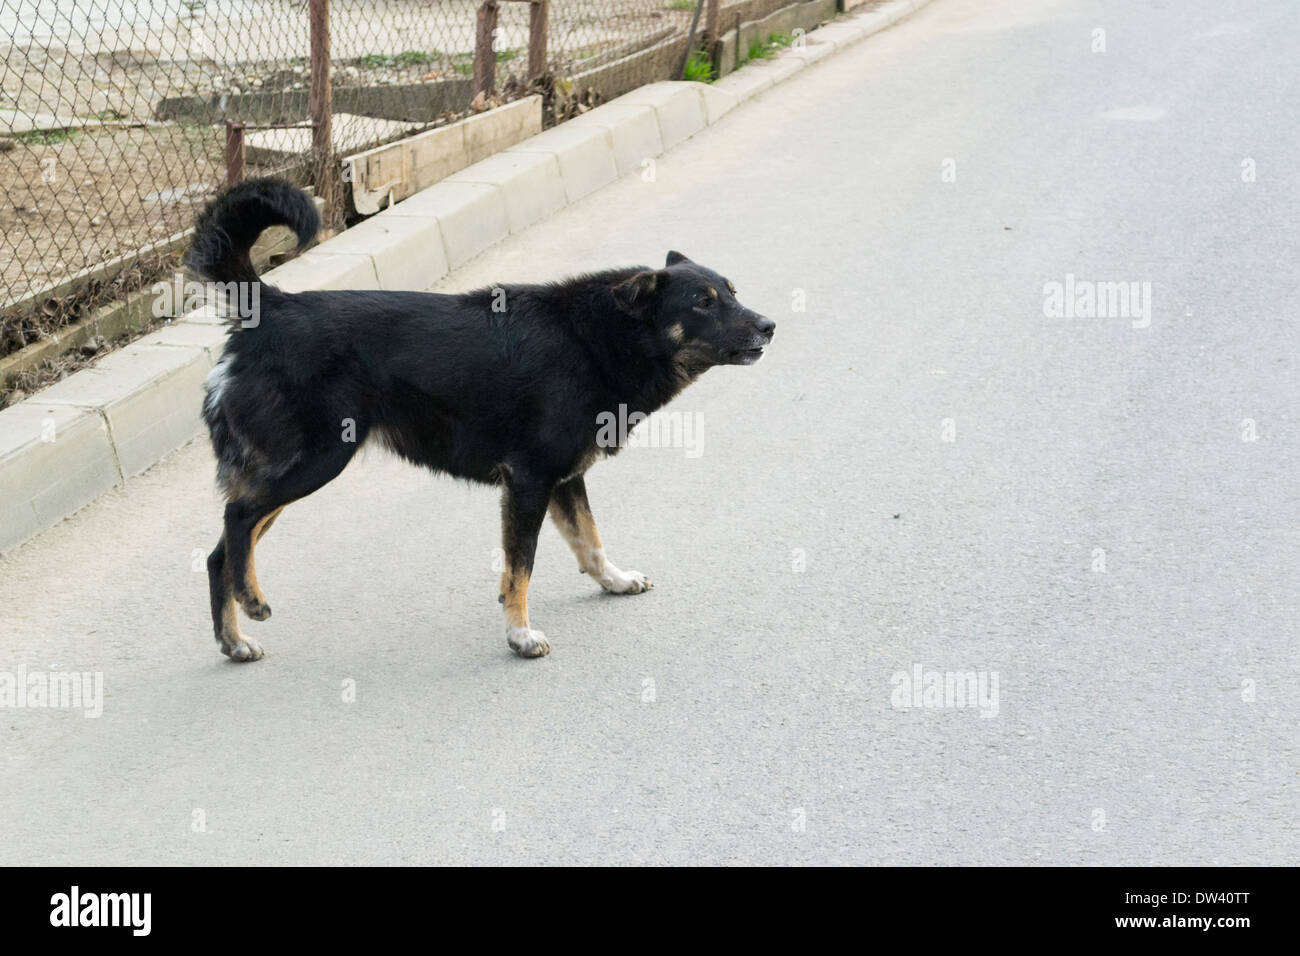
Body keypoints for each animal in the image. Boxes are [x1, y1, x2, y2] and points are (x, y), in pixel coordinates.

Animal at [184, 175, 769, 660]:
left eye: (732, 292)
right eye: (702, 302)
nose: (770, 325)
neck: (596, 338)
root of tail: (271, 305)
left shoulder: (564, 480)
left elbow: (590, 542)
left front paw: (615, 581)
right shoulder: (529, 482)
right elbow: (520, 568)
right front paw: (520, 635)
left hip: (291, 470)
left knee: (220, 552)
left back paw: (234, 641)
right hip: (316, 460)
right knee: (237, 519)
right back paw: (251, 600)